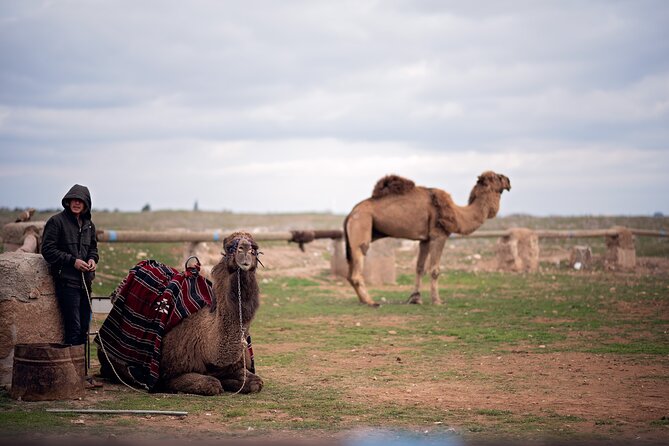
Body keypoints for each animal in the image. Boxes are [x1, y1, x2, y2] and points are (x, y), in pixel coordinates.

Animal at [100, 232, 262, 396]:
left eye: (255, 248)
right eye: (229, 247)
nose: (245, 249)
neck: (207, 346)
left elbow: (256, 382)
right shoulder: (170, 374)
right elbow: (211, 384)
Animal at [344, 171, 512, 306]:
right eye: (498, 177)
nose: (509, 181)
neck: (458, 214)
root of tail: (351, 214)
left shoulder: (424, 240)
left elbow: (419, 268)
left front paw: (415, 298)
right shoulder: (439, 235)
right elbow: (435, 269)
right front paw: (437, 301)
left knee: (350, 273)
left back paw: (363, 300)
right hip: (362, 224)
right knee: (358, 264)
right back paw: (370, 301)